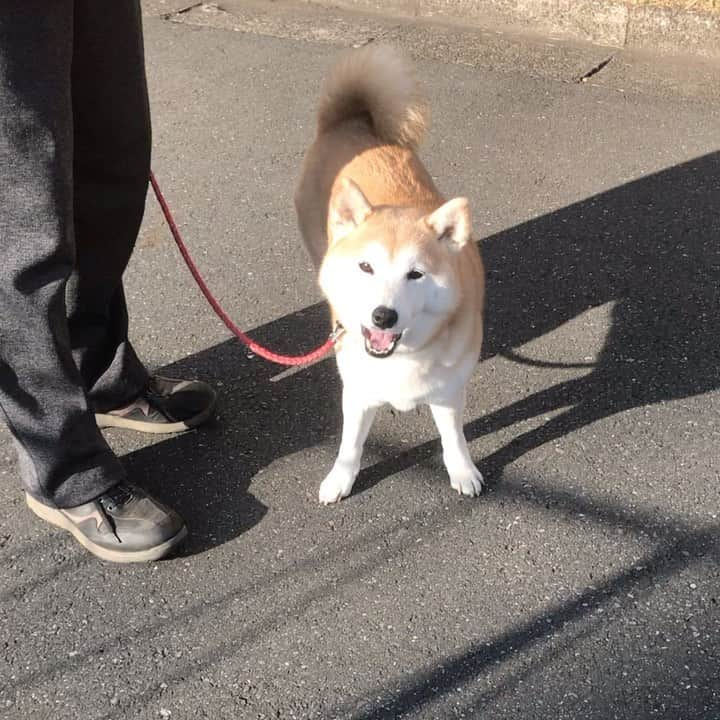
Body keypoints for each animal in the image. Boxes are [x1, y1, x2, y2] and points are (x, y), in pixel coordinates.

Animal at [296, 43, 486, 506]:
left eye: (415, 274)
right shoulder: (357, 390)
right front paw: (340, 479)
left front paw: (462, 471)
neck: (401, 357)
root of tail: (349, 120)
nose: (383, 316)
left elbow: (453, 438)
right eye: (366, 266)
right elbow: (350, 444)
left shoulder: (449, 391)